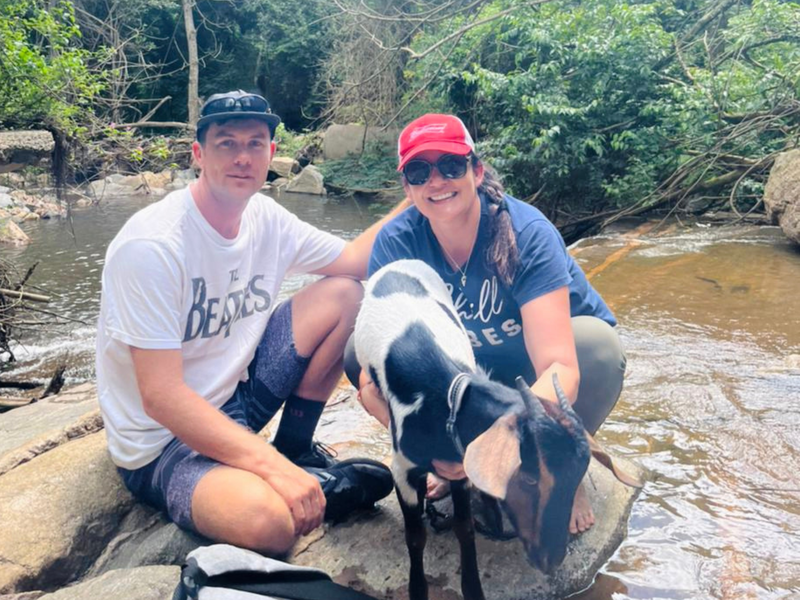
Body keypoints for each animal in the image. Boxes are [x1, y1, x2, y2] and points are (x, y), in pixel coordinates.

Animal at [356, 260, 644, 600]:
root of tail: (400, 264)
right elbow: (415, 536)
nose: (551, 559)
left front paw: (473, 588)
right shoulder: (402, 468)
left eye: (576, 477)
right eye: (530, 478)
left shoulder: (460, 463)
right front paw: (417, 590)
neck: (447, 397)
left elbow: (464, 528)